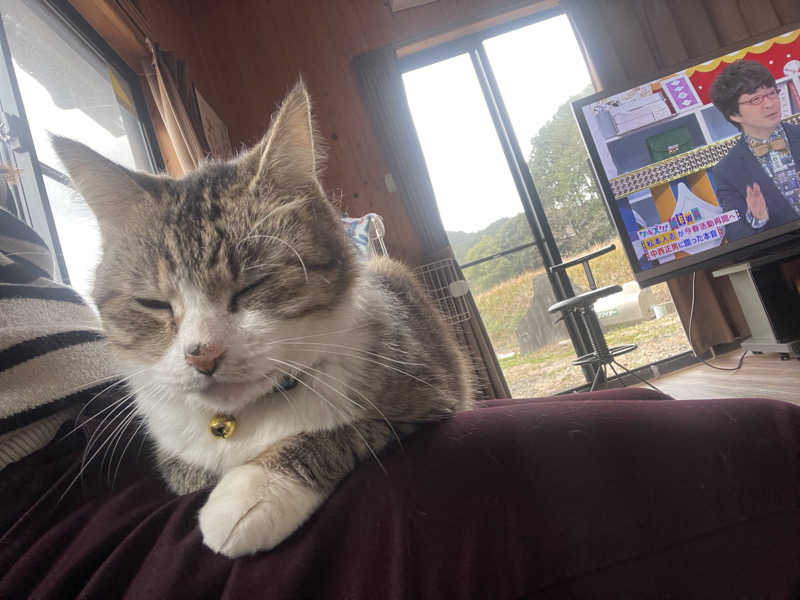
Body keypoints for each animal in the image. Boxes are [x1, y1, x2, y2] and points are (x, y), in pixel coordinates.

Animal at [53, 79, 472, 556]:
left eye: (252, 285)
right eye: (153, 303)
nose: (203, 355)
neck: (239, 419)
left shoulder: (426, 393)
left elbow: (348, 428)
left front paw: (253, 490)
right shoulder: (175, 449)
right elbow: (185, 472)